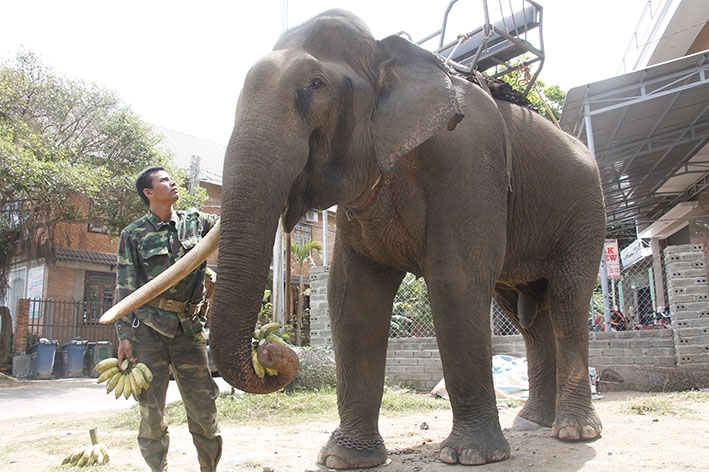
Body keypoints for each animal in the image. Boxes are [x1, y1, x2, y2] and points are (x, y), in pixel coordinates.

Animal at [209, 9, 604, 470]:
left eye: (316, 85)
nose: (271, 350)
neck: (389, 54)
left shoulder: (469, 158)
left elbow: (456, 279)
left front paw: (470, 455)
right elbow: (352, 295)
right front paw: (344, 458)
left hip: (585, 212)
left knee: (567, 298)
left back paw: (573, 432)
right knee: (529, 317)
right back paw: (530, 423)